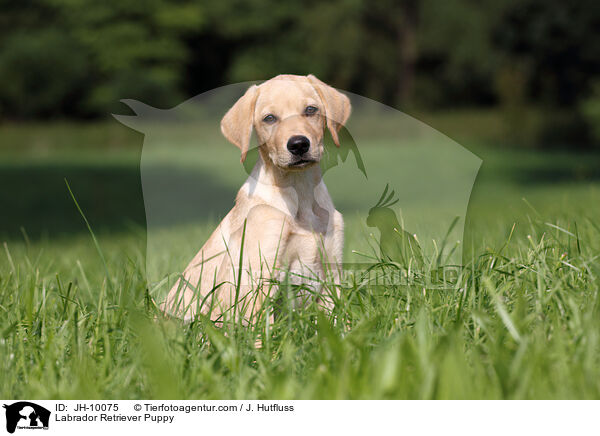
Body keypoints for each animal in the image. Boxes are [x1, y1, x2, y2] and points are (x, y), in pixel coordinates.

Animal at [162, 73, 352, 322]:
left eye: (311, 110)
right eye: (269, 118)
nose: (299, 144)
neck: (299, 193)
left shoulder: (332, 274)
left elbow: (340, 324)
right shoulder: (256, 279)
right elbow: (260, 328)